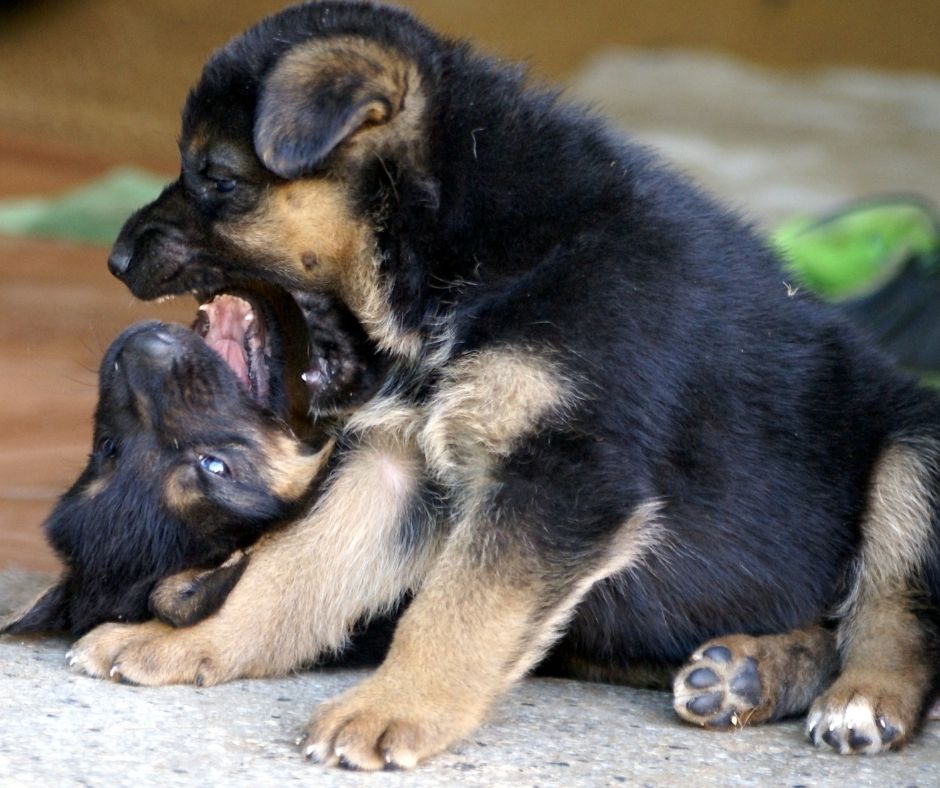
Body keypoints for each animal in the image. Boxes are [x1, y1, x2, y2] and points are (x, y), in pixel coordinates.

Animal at [70, 0, 940, 764]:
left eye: (216, 178)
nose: (115, 257)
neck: (469, 256)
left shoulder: (561, 473)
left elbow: (456, 609)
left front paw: (390, 710)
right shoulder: (397, 466)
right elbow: (289, 571)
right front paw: (188, 643)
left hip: (914, 443)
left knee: (893, 610)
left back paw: (860, 700)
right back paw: (749, 673)